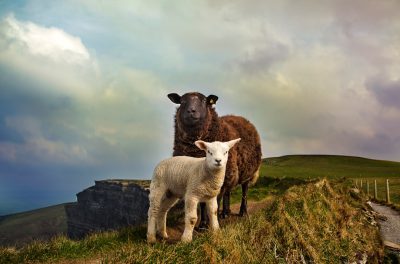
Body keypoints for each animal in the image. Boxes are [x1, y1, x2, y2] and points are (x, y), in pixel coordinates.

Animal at [166, 91, 262, 227]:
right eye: (182, 101)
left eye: (204, 101)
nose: (191, 111)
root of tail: (242, 118)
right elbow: (203, 203)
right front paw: (202, 224)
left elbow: (214, 202)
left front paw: (210, 224)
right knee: (228, 192)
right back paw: (225, 213)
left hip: (247, 172)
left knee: (244, 191)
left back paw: (242, 212)